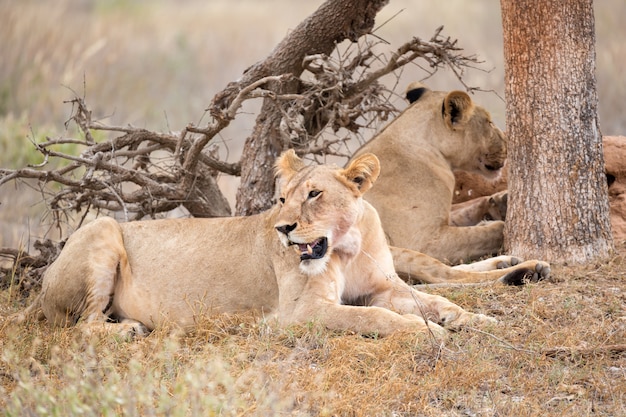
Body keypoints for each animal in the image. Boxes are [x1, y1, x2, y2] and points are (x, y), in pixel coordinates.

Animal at [12, 150, 548, 338]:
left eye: (313, 195)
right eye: (281, 199)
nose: (283, 229)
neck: (346, 244)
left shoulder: (385, 287)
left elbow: (436, 300)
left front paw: (476, 320)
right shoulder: (301, 312)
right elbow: (376, 319)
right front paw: (426, 332)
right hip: (101, 229)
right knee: (80, 327)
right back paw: (126, 331)